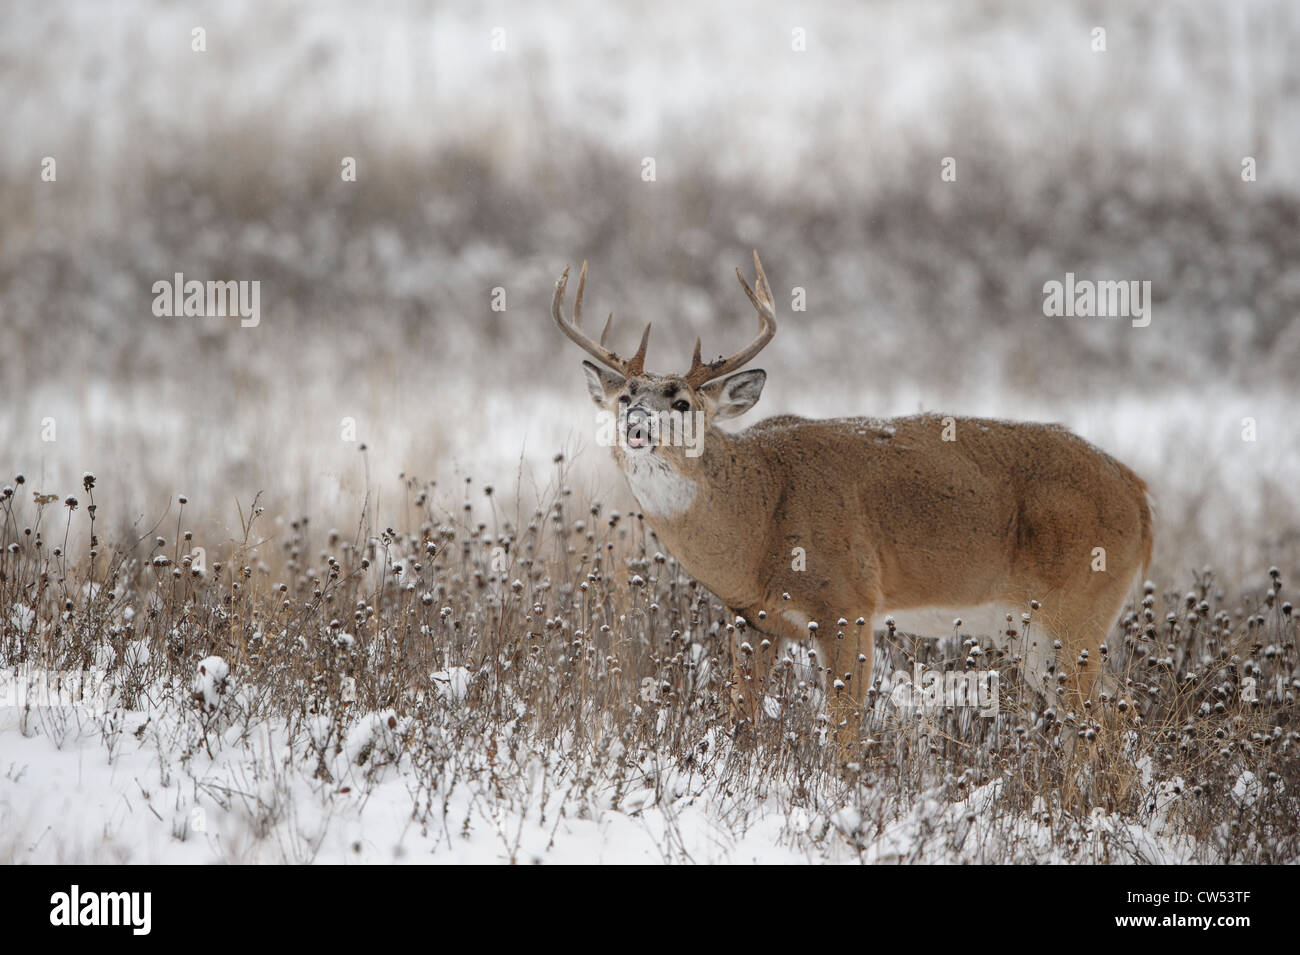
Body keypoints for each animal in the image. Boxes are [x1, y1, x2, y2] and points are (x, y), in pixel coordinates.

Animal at [553, 252, 1154, 753]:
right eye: (625, 396)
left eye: (681, 401)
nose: (636, 424)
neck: (759, 517)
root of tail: (1140, 496)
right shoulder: (752, 618)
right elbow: (740, 716)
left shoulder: (849, 600)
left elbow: (845, 728)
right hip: (1030, 630)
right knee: (1109, 714)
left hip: (1077, 607)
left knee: (1106, 718)